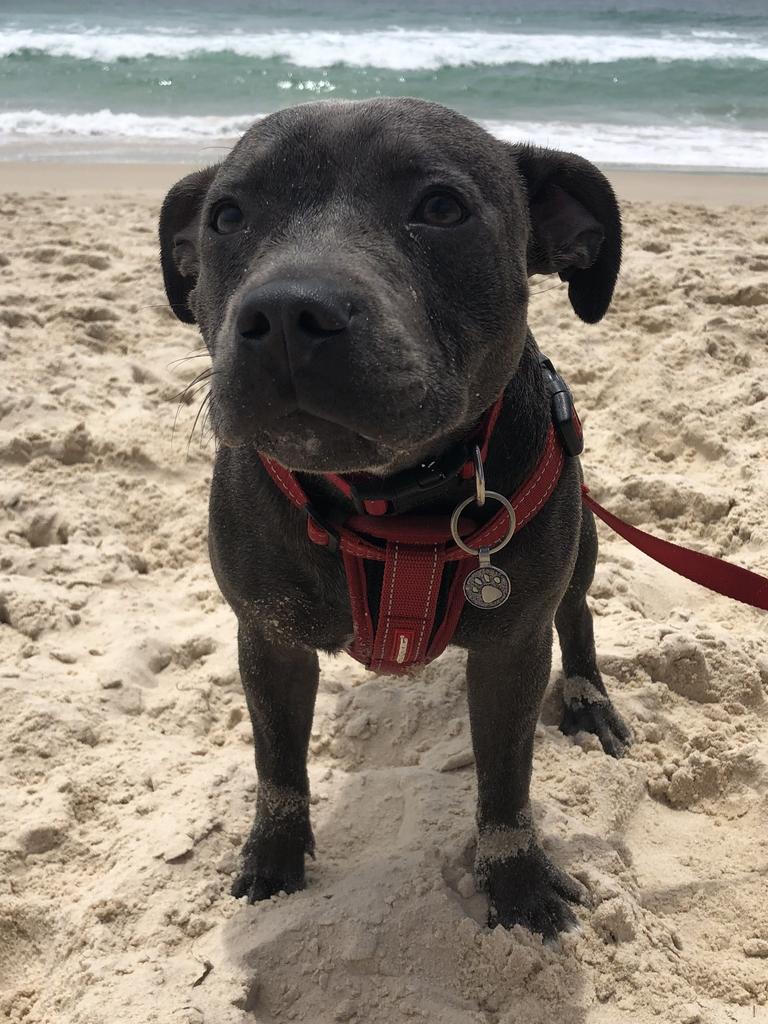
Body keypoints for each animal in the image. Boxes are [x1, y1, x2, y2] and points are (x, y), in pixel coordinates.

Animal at [157, 96, 630, 937]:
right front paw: (274, 858)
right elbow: (277, 765)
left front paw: (518, 888)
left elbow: (505, 785)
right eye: (227, 216)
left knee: (576, 614)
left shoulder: (511, 649)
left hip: (581, 549)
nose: (286, 310)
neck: (388, 496)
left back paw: (587, 698)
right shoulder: (269, 639)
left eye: (440, 208)